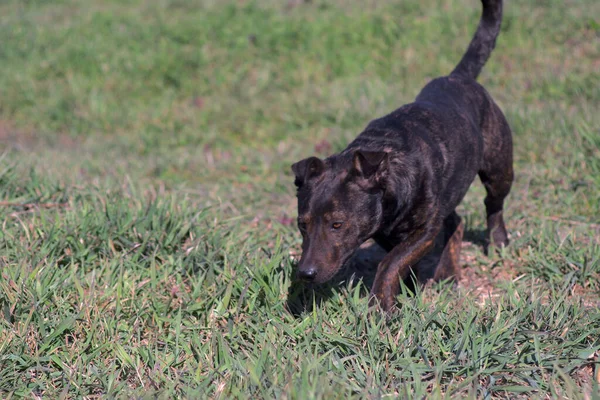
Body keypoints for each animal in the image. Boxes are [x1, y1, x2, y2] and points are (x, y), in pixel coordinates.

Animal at [290, 0, 510, 312]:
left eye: (337, 224)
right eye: (302, 224)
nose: (305, 273)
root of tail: (458, 77)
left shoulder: (425, 229)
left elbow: (391, 262)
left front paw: (380, 304)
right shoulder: (385, 231)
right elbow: (400, 261)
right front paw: (407, 290)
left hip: (498, 168)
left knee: (493, 204)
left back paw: (497, 241)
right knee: (455, 221)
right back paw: (447, 272)